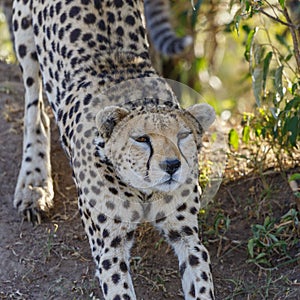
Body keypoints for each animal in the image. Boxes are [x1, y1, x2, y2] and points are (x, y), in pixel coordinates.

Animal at [12, 1, 216, 298]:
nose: (171, 166)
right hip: (24, 34)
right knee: (34, 107)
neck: (143, 189)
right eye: (141, 139)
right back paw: (33, 184)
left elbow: (201, 283)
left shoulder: (188, 237)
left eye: (183, 136)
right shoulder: (109, 246)